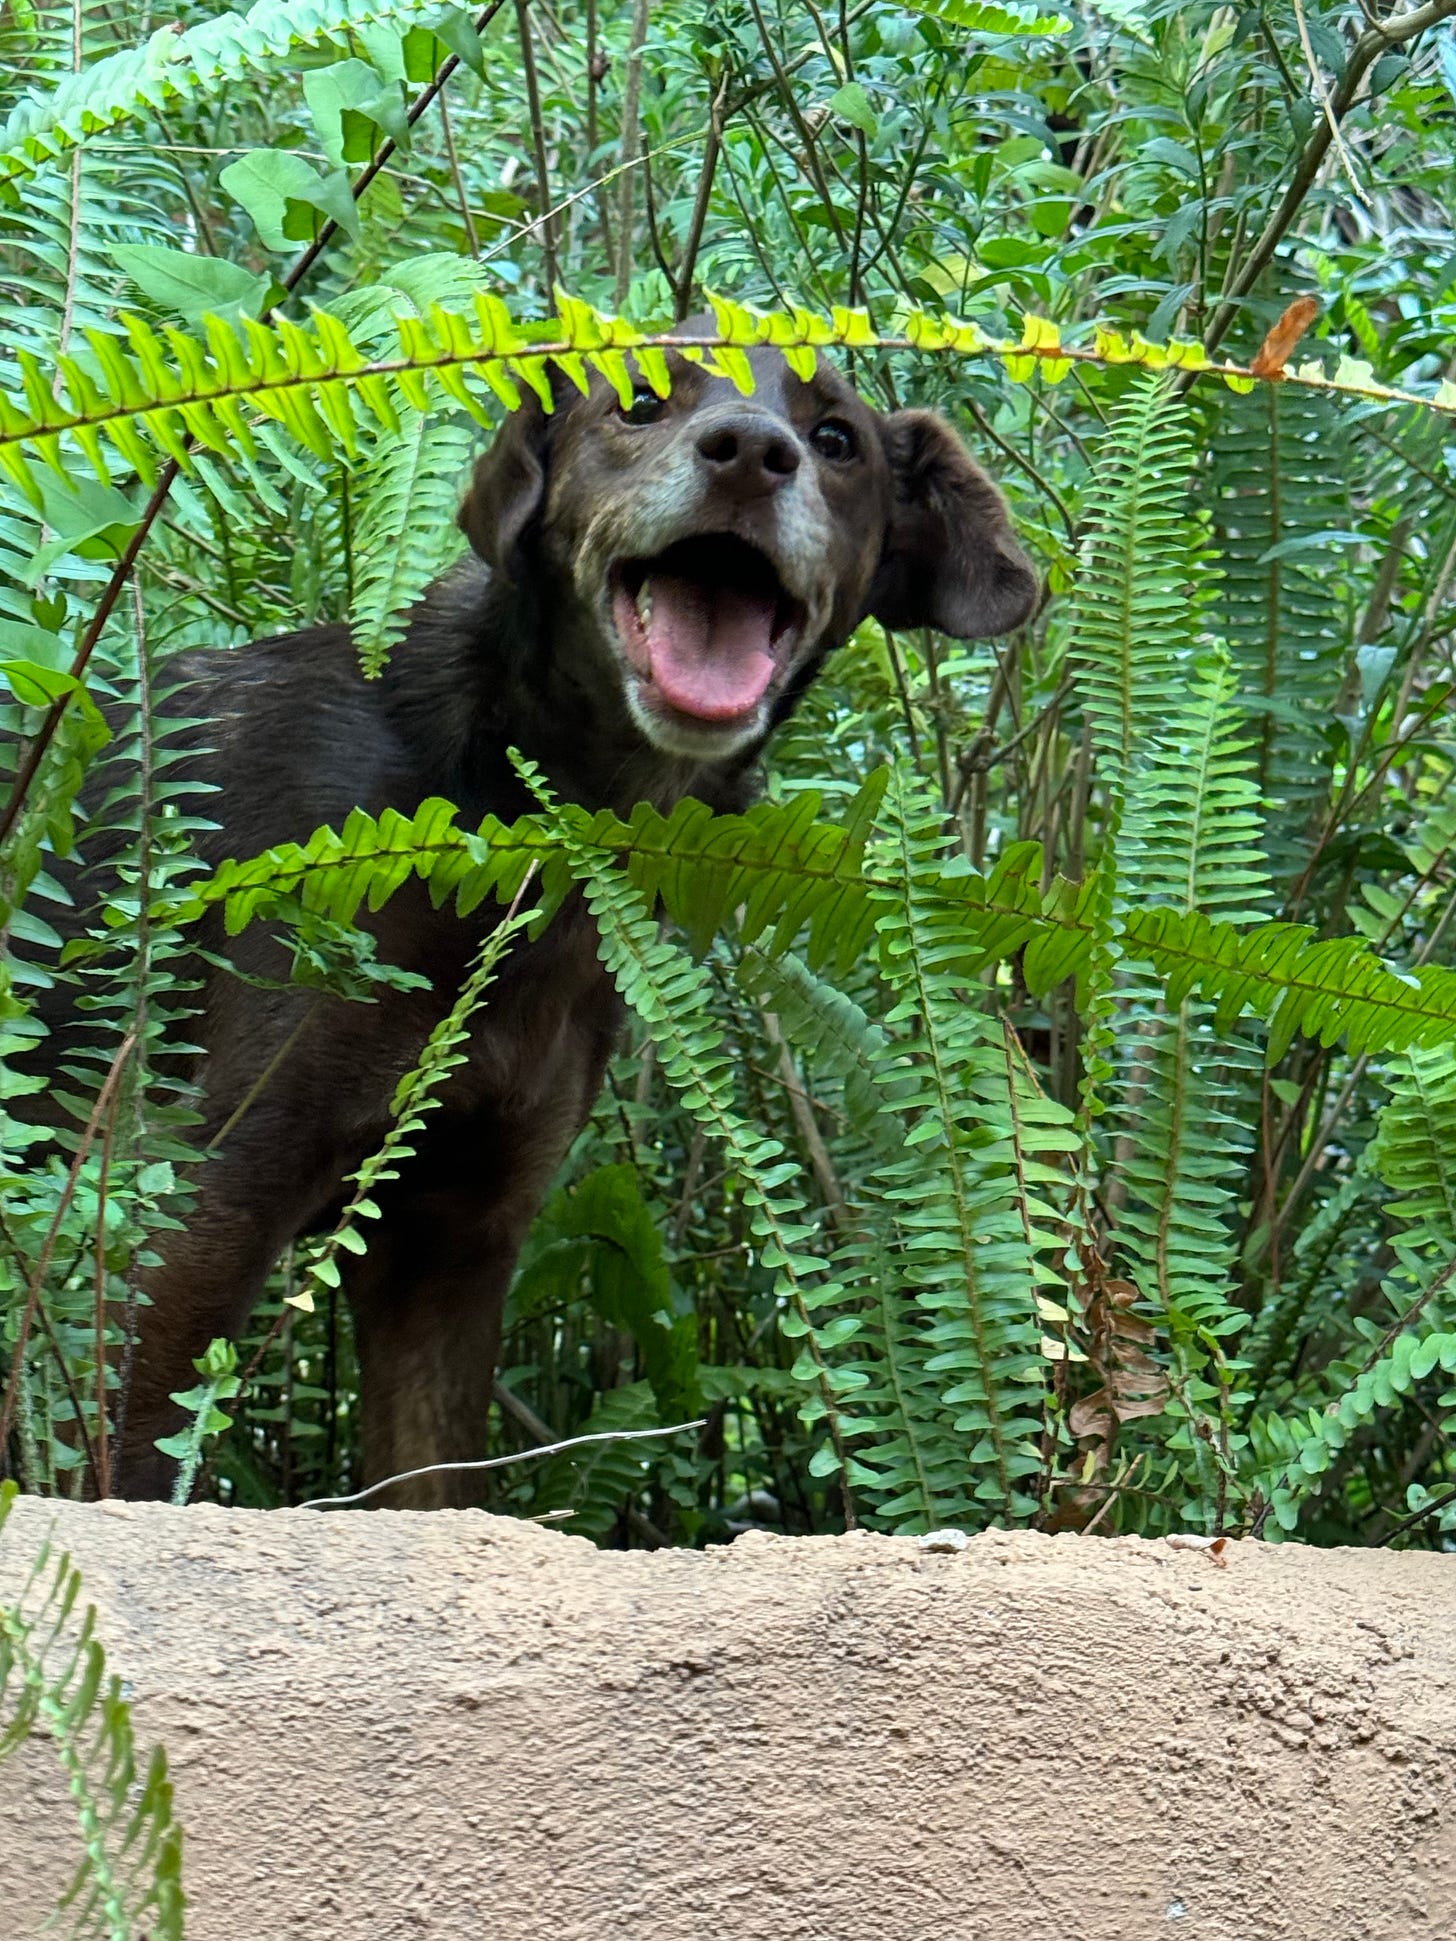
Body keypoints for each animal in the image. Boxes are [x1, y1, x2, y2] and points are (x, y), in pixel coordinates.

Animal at [14, 329, 1040, 1498]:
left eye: (836, 440)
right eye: (640, 402)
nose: (748, 453)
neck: (512, 821)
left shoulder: (451, 1240)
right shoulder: (192, 1210)